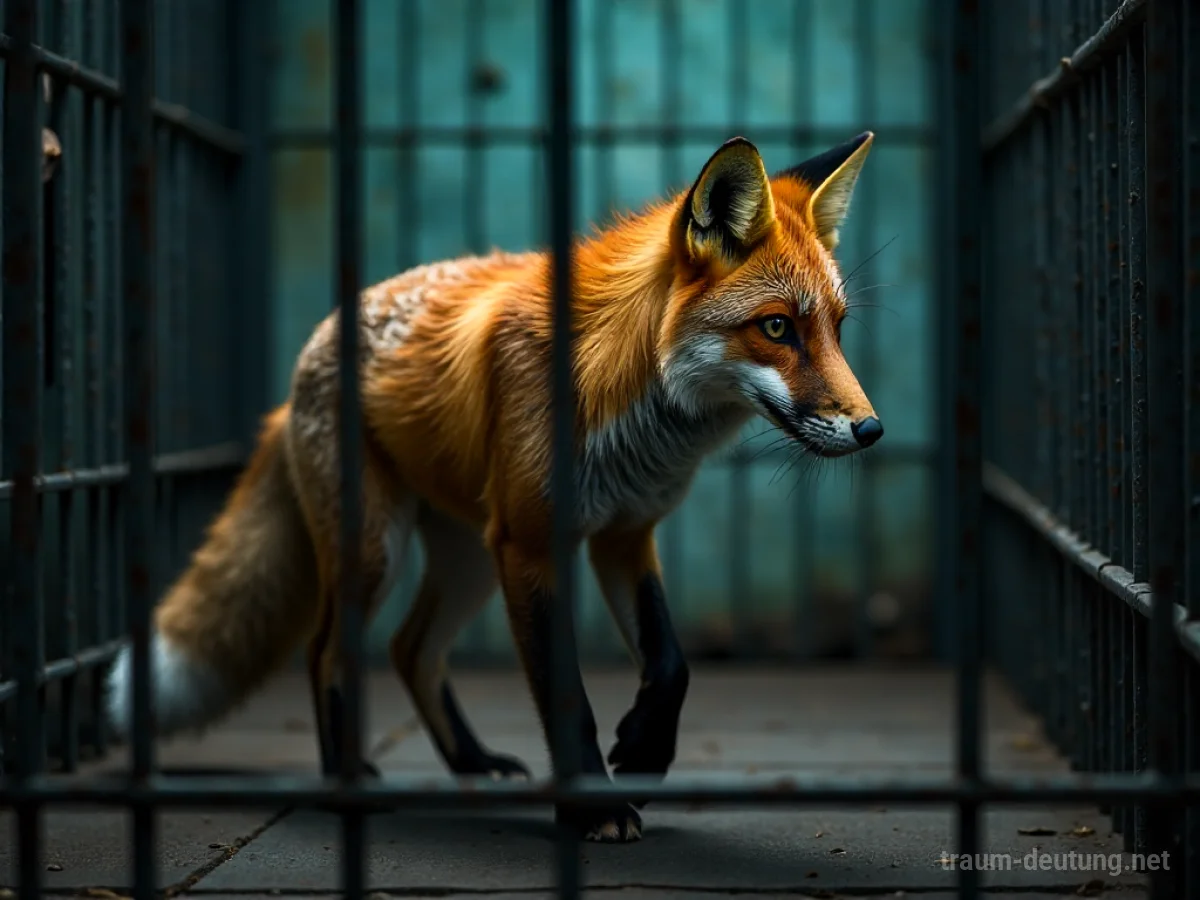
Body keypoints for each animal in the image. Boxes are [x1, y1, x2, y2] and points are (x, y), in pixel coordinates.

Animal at [104, 132, 884, 843]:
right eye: (777, 328)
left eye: (839, 329)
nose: (871, 429)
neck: (621, 394)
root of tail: (303, 364)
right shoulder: (533, 545)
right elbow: (567, 697)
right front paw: (593, 806)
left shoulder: (623, 534)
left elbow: (670, 665)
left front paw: (641, 756)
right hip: (379, 552)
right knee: (326, 650)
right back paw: (350, 780)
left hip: (469, 558)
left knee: (411, 649)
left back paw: (472, 763)